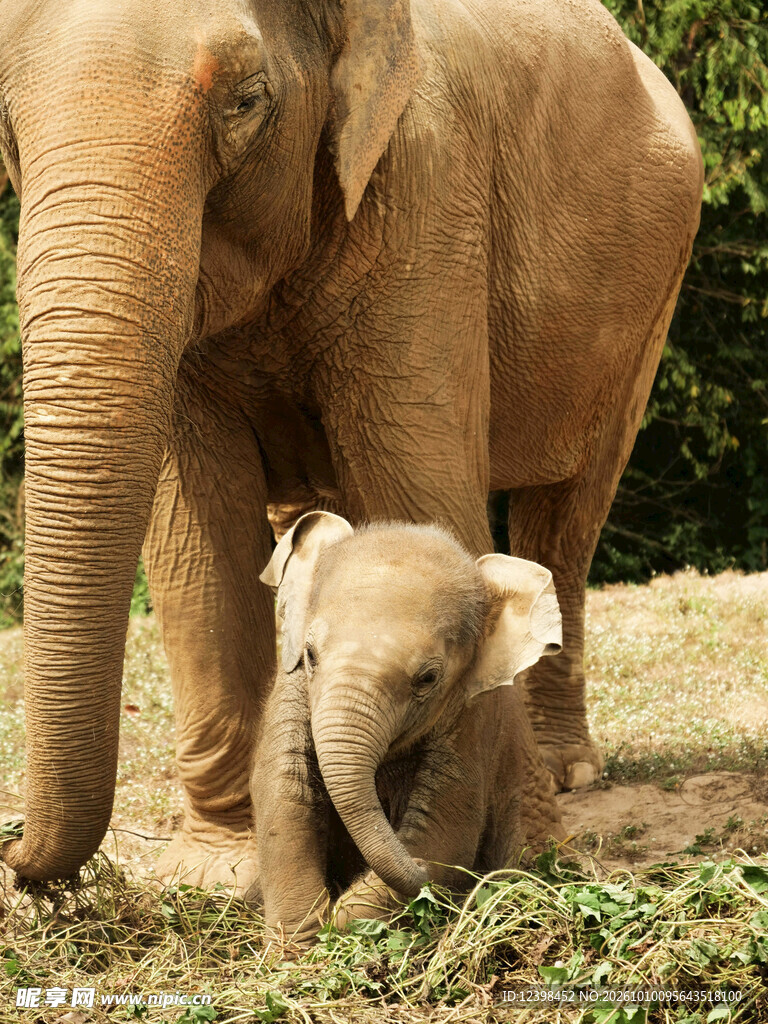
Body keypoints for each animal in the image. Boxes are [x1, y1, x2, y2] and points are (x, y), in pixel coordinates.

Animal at [0, 0, 702, 892]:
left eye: (245, 103)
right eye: (5, 129)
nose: (16, 856)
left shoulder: (426, 200)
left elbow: (416, 496)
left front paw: (506, 862)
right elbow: (197, 540)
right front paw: (221, 875)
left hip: (651, 296)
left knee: (567, 515)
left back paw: (567, 773)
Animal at [250, 512, 565, 945]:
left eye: (428, 679)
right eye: (311, 655)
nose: (413, 864)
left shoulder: (472, 719)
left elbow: (444, 835)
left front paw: (343, 927)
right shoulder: (290, 684)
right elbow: (282, 795)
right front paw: (300, 945)